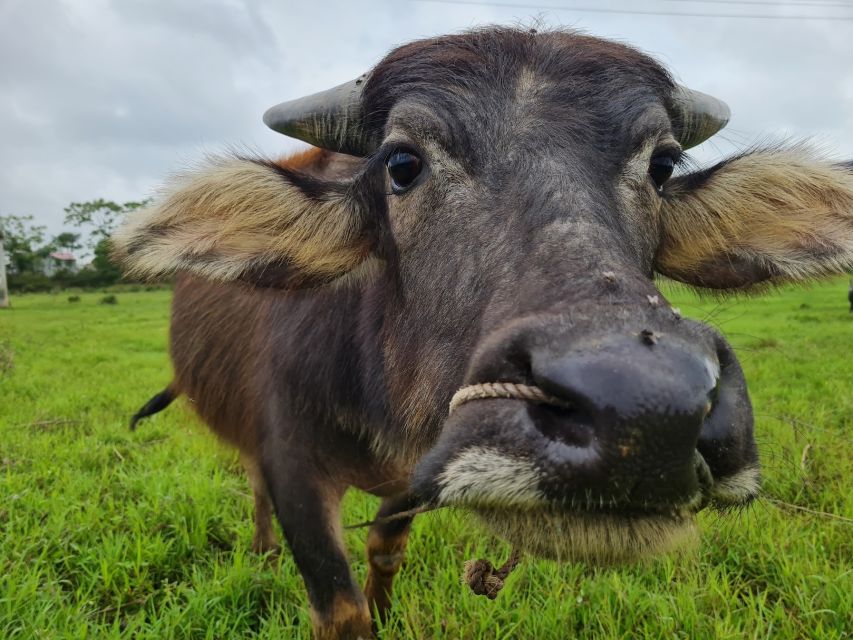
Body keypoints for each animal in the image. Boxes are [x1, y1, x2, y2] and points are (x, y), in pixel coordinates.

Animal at [115, 26, 852, 640]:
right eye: (402, 163)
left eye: (662, 166)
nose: (646, 414)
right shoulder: (290, 459)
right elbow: (341, 608)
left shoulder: (413, 473)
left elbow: (385, 550)